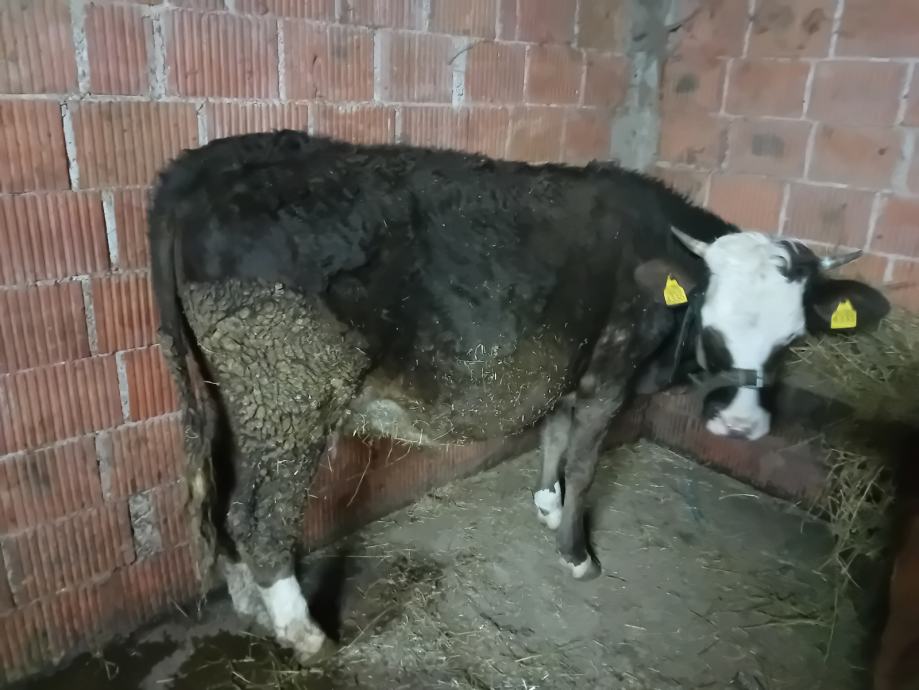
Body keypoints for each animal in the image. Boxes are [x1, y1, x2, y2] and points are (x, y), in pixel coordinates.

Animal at [149, 131, 890, 664]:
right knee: (257, 512)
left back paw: (249, 602)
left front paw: (545, 504)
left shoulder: (567, 365)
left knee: (219, 494)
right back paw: (303, 633)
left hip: (228, 393)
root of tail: (203, 161)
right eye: (711, 326)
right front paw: (576, 551)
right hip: (287, 386)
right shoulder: (608, 370)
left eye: (791, 339)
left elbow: (553, 438)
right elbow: (586, 461)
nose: (738, 424)